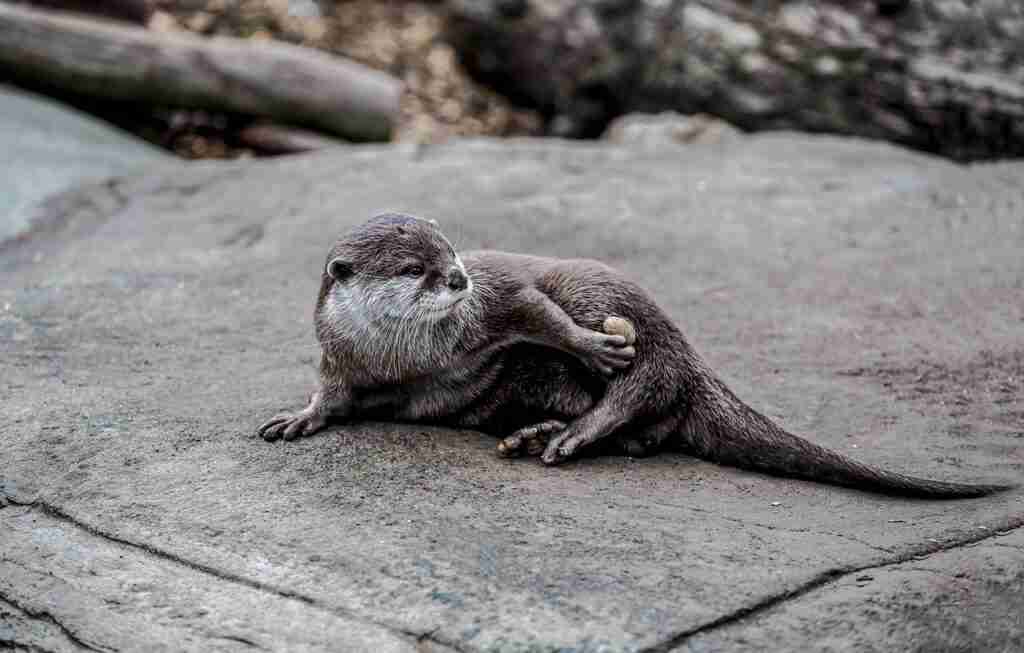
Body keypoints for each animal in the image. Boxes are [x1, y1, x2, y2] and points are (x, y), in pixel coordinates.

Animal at [258, 212, 1012, 499]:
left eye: (453, 252)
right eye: (416, 268)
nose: (457, 279)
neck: (404, 356)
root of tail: (694, 353)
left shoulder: (496, 302)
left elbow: (533, 305)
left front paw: (592, 344)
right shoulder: (340, 356)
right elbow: (331, 395)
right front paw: (299, 417)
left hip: (613, 300)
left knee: (648, 380)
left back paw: (575, 427)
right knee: (648, 433)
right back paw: (540, 433)